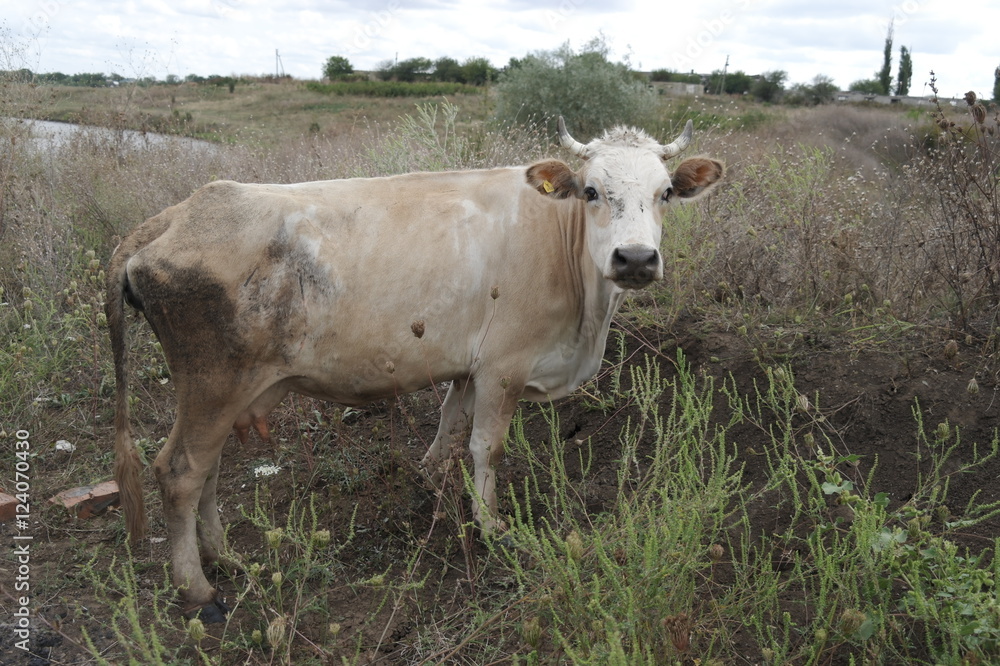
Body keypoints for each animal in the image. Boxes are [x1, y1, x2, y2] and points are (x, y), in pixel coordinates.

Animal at [107, 116, 720, 620]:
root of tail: (182, 212)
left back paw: (225, 554)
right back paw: (197, 588)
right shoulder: (504, 365)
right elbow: (487, 446)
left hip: (222, 392)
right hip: (212, 384)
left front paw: (432, 481)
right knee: (180, 472)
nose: (636, 259)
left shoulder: (470, 366)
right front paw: (493, 526)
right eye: (592, 191)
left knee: (206, 470)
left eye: (666, 193)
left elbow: (450, 427)